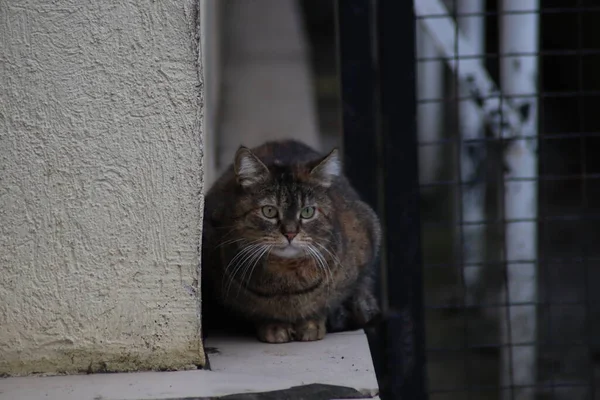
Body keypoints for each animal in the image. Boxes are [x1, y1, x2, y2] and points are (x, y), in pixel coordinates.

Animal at [202, 141, 380, 344]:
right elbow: (258, 312)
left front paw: (312, 323)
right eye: (269, 211)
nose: (290, 233)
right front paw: (273, 326)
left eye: (307, 212)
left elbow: (325, 305)